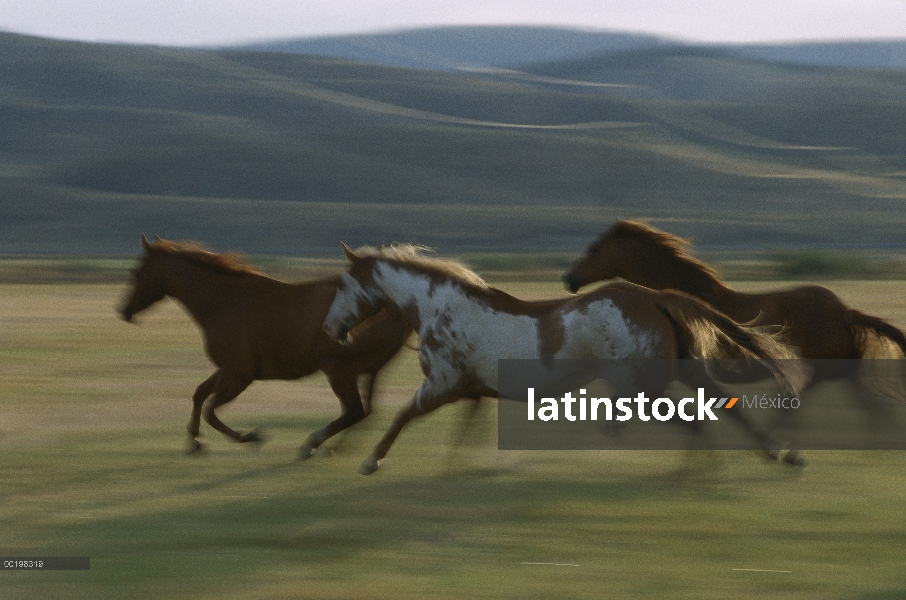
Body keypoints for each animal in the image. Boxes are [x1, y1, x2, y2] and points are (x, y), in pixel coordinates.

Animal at [118, 234, 412, 454]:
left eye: (137, 272)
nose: (123, 311)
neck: (223, 303)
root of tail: (393, 305)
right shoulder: (228, 370)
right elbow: (199, 395)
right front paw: (194, 442)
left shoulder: (240, 375)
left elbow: (211, 410)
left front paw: (251, 436)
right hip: (365, 371)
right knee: (364, 411)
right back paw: (335, 448)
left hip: (338, 370)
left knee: (355, 411)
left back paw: (312, 445)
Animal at [322, 243, 800, 474]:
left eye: (342, 284)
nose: (331, 329)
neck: (439, 307)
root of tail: (653, 297)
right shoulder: (469, 390)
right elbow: (466, 430)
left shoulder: (441, 384)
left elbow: (402, 415)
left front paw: (370, 461)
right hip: (675, 374)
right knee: (721, 410)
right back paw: (780, 455)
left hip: (645, 389)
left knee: (695, 420)